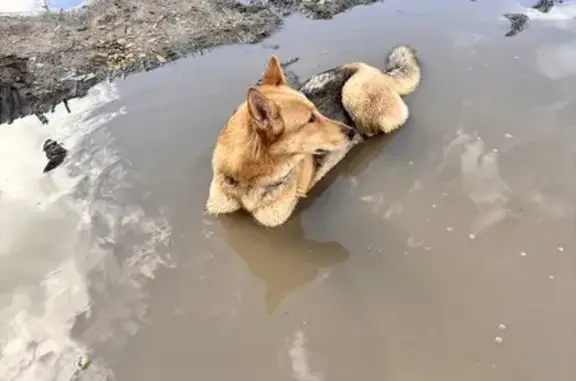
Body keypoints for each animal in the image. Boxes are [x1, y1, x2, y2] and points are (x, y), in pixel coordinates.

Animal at [205, 46, 420, 227]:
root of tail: (376, 70)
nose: (350, 132)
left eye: (317, 111)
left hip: (353, 93)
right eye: (310, 120)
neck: (246, 178)